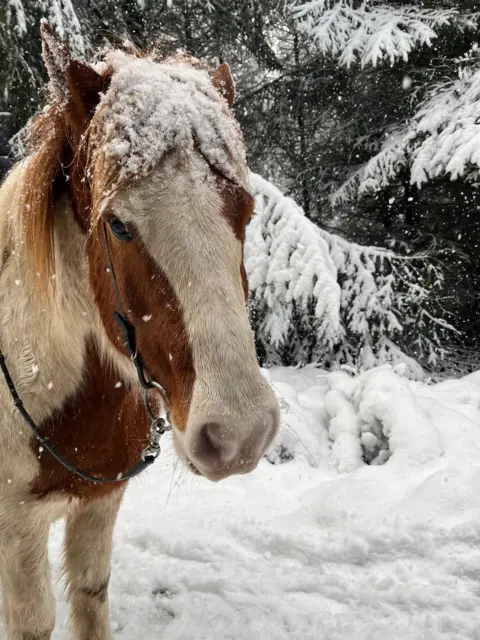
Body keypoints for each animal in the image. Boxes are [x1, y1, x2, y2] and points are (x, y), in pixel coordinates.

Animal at [0, 22, 280, 640]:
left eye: (245, 213)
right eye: (119, 225)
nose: (239, 435)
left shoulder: (99, 506)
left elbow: (91, 595)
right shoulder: (17, 532)